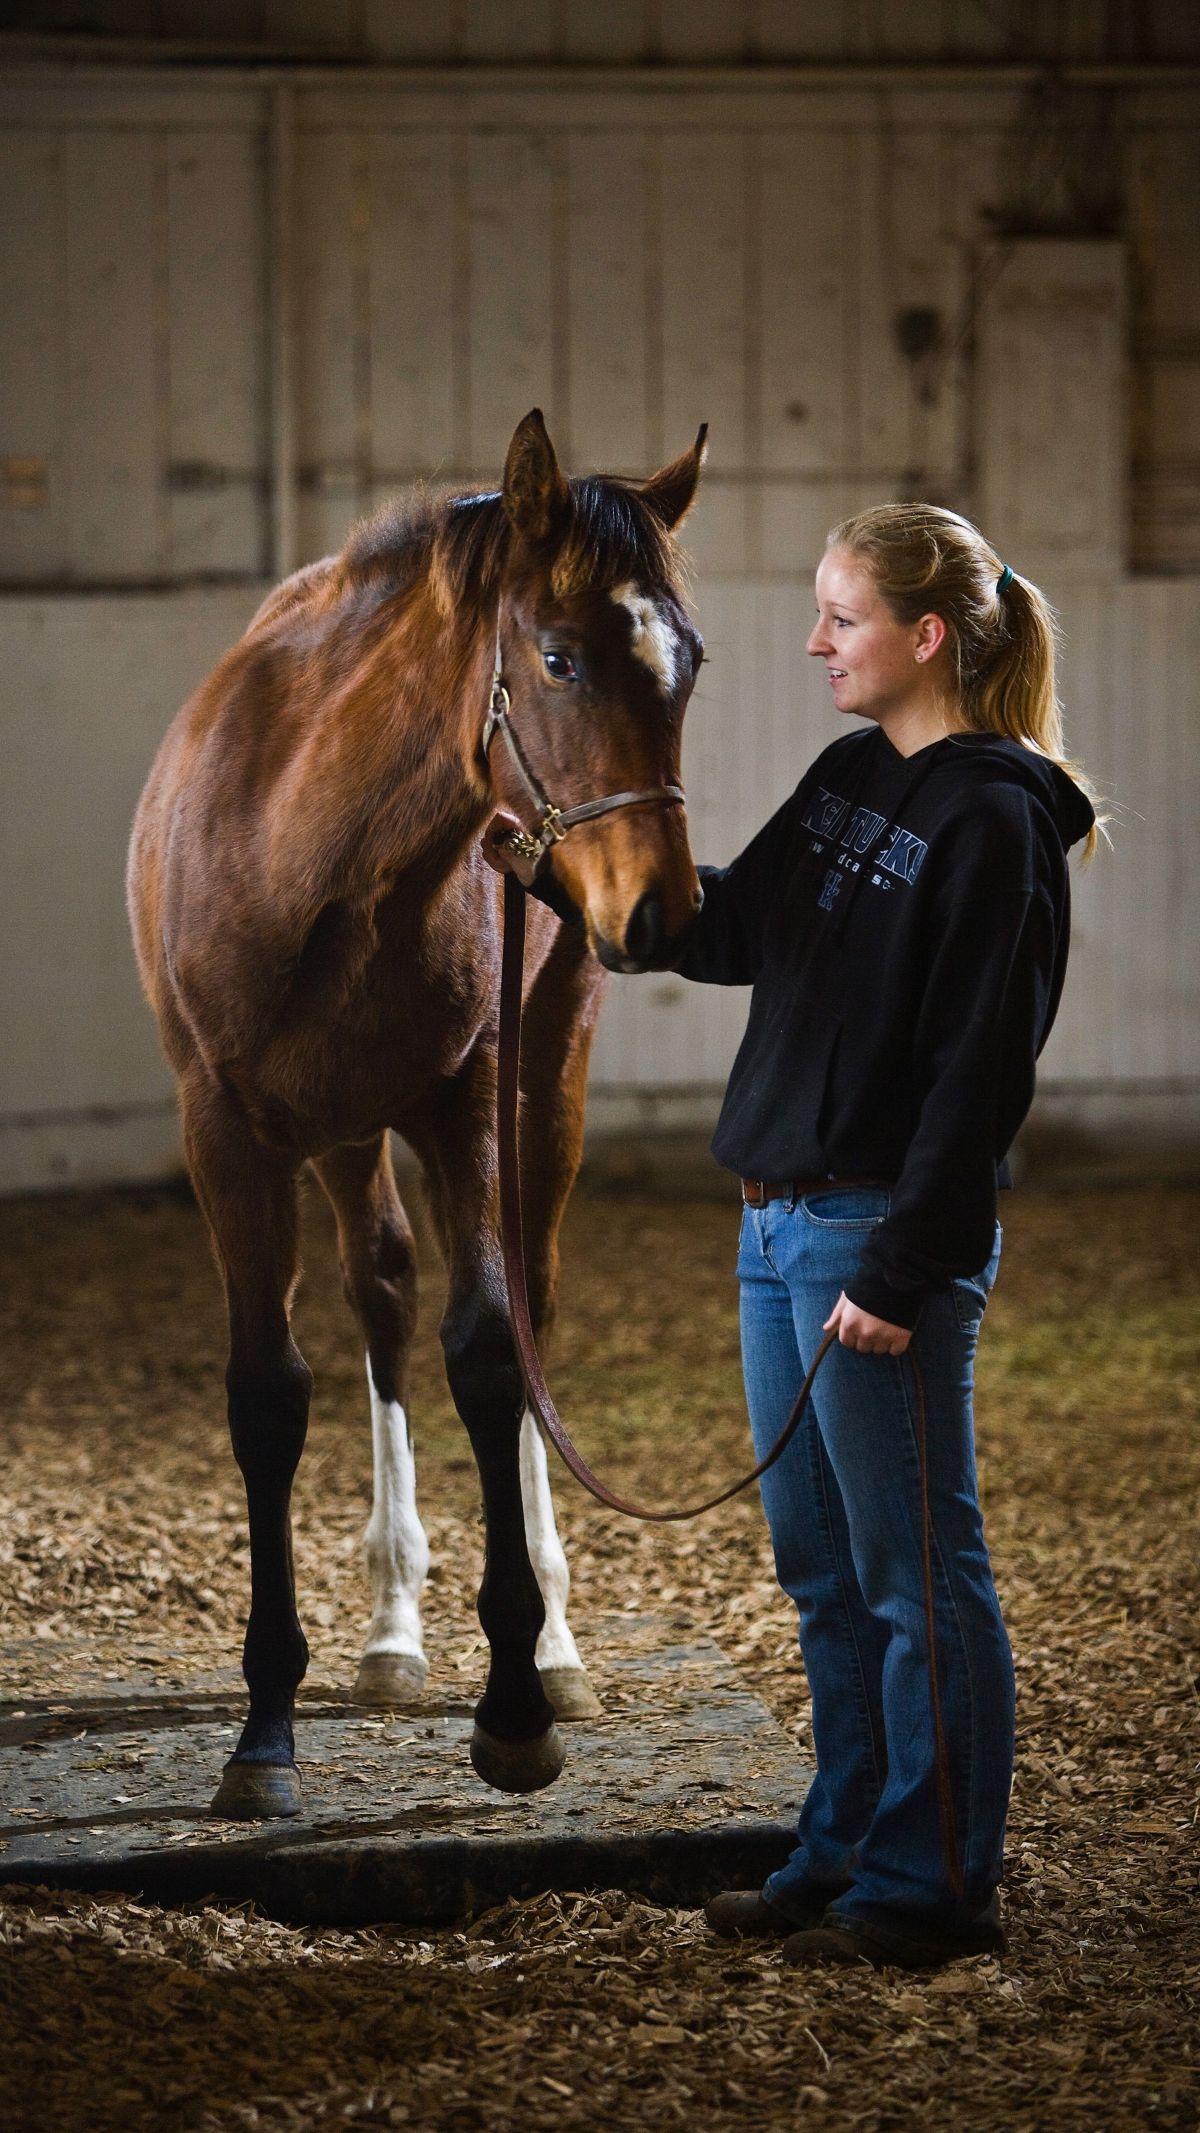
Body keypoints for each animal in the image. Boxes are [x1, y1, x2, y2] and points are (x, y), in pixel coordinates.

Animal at [126, 411, 707, 1817]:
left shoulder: (471, 1103)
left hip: (543, 1082)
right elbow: (270, 1391)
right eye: (557, 656)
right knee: (382, 1294)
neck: (313, 854)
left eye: (688, 665)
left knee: (525, 1303)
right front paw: (263, 1729)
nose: (666, 911)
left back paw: (553, 1646)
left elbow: (493, 1353)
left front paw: (517, 1706)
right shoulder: (226, 1132)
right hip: (338, 1133)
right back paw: (391, 1630)